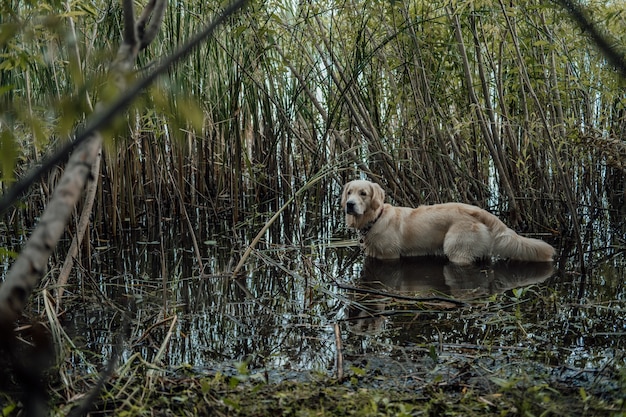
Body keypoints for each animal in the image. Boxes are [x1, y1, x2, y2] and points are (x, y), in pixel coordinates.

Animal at [338, 179, 552, 264]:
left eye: (363, 193)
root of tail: (478, 210)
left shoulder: (390, 256)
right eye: (349, 192)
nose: (349, 204)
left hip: (456, 248)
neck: (376, 218)